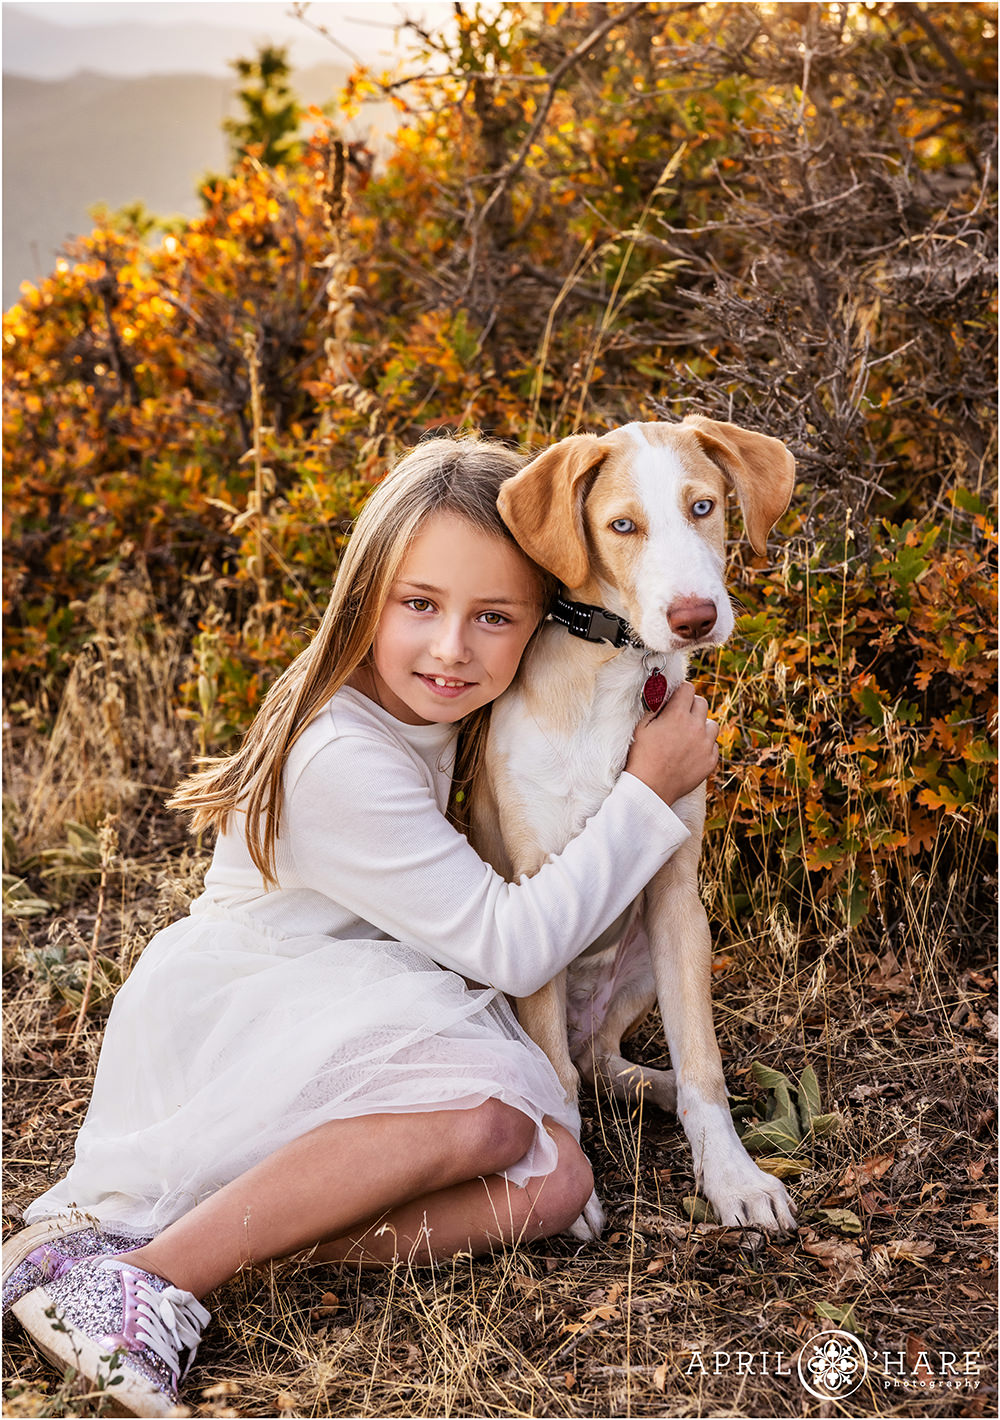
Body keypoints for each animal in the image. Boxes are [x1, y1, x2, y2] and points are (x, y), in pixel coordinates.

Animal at [474, 414, 795, 1238]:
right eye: (622, 526)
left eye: (704, 507)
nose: (695, 618)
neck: (618, 678)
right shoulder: (531, 893)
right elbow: (551, 1079)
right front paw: (567, 1187)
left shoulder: (677, 890)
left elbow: (702, 1059)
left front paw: (733, 1177)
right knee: (569, 1064)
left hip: (654, 951)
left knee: (603, 1060)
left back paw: (660, 1087)